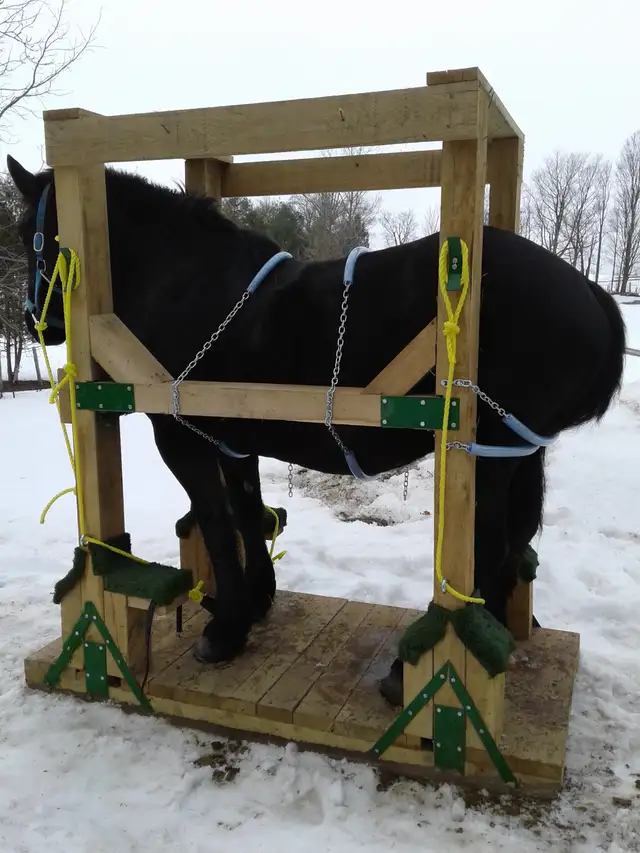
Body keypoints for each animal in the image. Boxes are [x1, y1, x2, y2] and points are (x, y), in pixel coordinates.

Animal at [7, 155, 626, 705]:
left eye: (24, 231)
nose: (40, 322)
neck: (185, 281)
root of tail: (592, 294)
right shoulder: (235, 442)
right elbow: (245, 514)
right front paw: (257, 600)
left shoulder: (184, 441)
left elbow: (216, 524)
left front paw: (226, 632)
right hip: (516, 454)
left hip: (488, 458)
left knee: (491, 553)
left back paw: (418, 671)